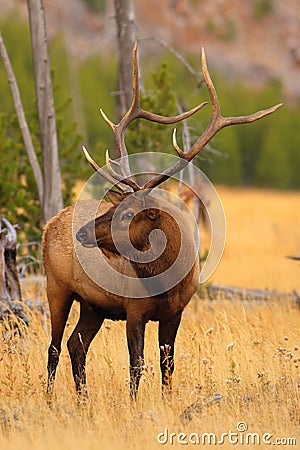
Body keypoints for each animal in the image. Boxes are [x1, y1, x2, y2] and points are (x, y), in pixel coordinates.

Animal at [42, 43, 282, 400]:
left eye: (128, 214)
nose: (82, 233)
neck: (165, 282)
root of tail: (49, 224)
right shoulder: (134, 311)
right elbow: (136, 365)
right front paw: (133, 405)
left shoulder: (175, 313)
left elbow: (167, 365)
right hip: (56, 286)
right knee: (54, 347)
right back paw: (49, 400)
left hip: (93, 304)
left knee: (76, 345)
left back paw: (83, 400)